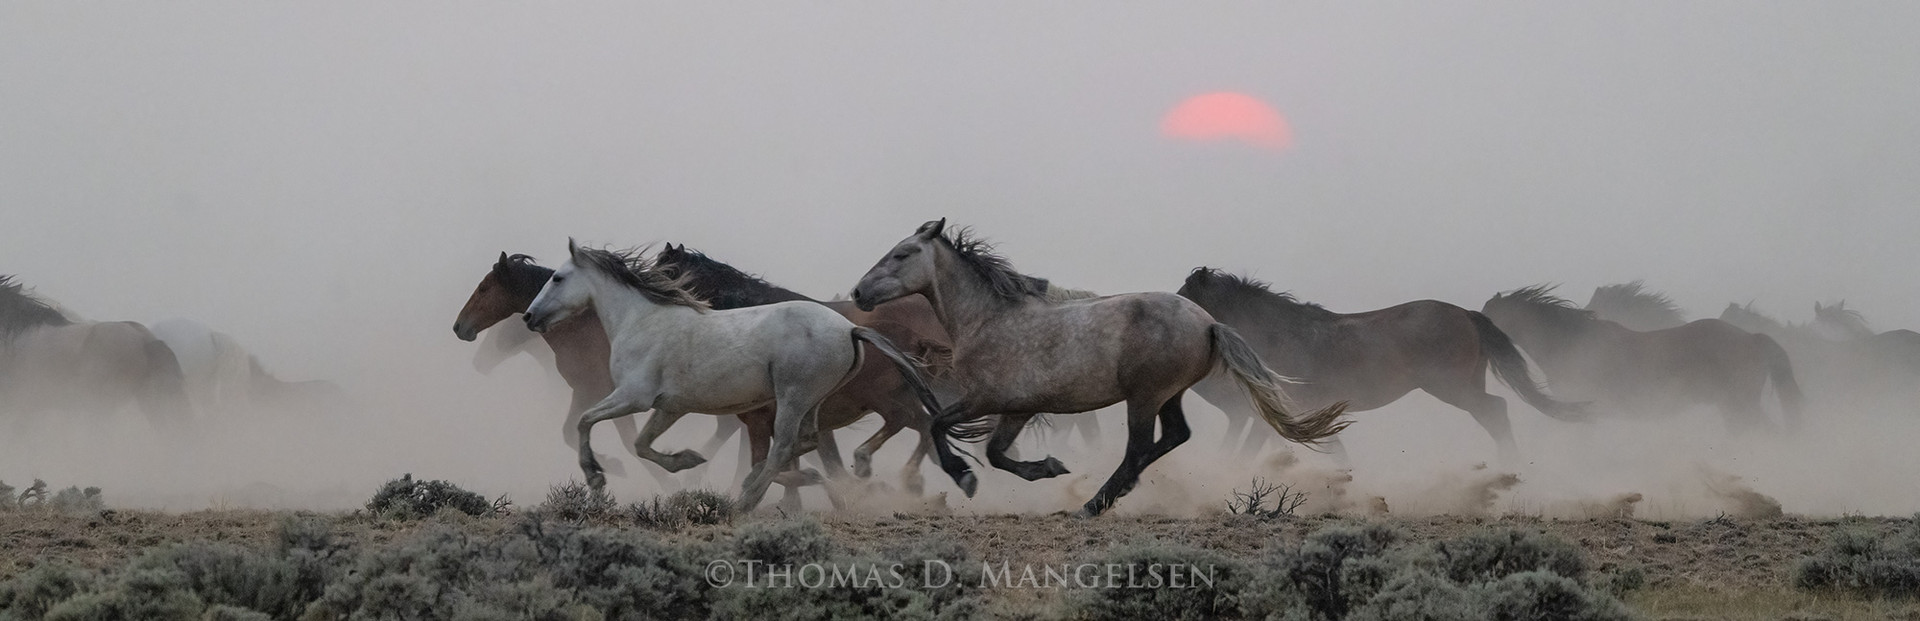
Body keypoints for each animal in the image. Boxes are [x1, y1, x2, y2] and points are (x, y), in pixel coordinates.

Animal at [523, 241, 945, 511]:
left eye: (557, 278)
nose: (530, 316)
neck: (641, 320)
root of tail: (850, 329)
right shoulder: (669, 406)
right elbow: (642, 444)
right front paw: (687, 461)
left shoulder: (633, 397)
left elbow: (585, 420)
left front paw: (595, 476)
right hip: (814, 401)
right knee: (804, 443)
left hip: (793, 398)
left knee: (783, 448)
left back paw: (748, 499)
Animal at [850, 219, 1349, 517]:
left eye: (901, 254)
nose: (858, 293)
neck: (988, 318)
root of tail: (1209, 323)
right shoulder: (1016, 409)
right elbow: (995, 453)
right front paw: (1047, 467)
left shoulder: (985, 400)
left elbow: (940, 426)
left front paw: (965, 477)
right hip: (1167, 395)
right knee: (1173, 437)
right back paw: (1114, 490)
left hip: (1144, 397)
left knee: (1139, 447)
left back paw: (1093, 504)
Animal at [1176, 268, 1585, 465]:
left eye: (1185, 296)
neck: (1281, 333)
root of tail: (1469, 316)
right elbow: (1333, 446)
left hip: (1452, 388)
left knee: (1495, 411)